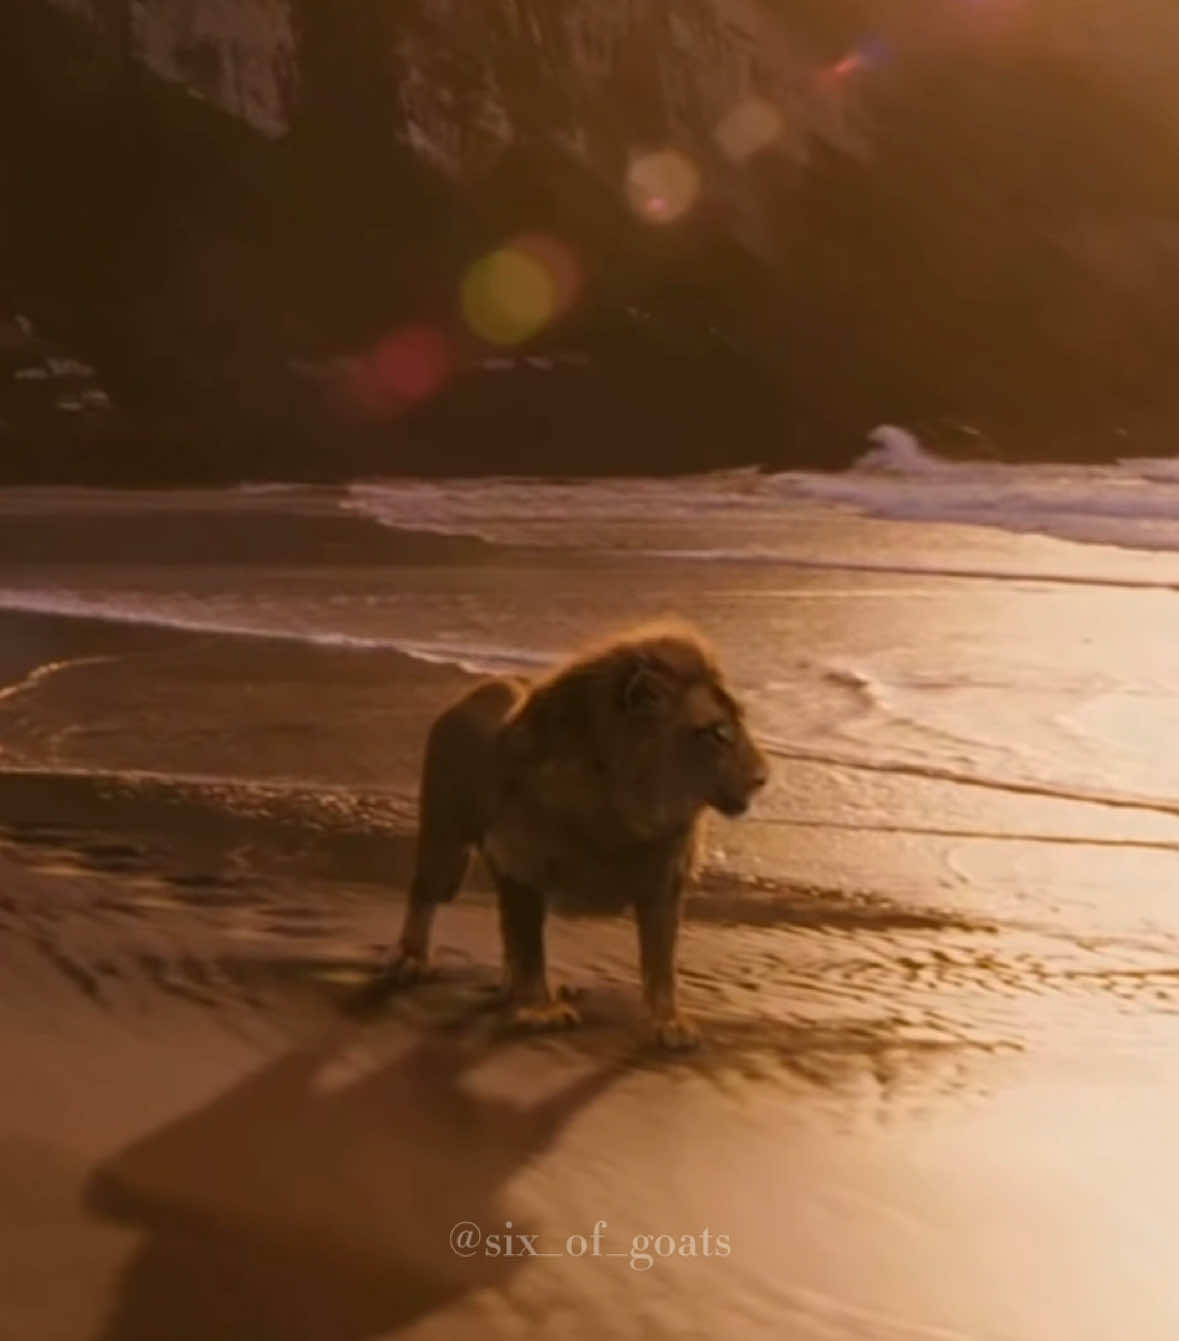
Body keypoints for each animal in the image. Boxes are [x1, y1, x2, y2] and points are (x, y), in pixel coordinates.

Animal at [377, 620, 768, 1048]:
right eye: (718, 733)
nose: (762, 778)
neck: (630, 811)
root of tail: (479, 690)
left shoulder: (664, 884)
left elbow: (662, 962)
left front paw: (670, 1023)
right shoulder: (521, 866)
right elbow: (531, 951)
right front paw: (538, 1010)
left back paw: (512, 987)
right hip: (446, 841)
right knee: (425, 896)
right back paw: (413, 960)